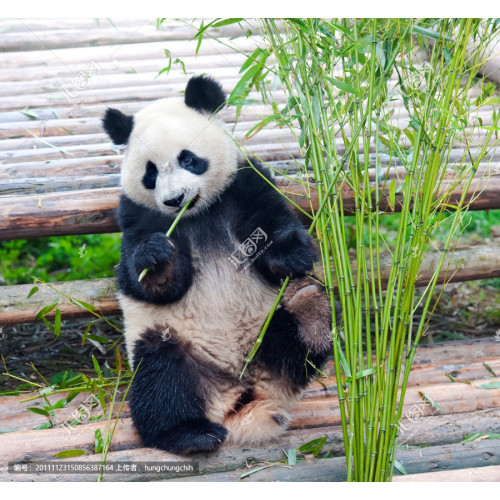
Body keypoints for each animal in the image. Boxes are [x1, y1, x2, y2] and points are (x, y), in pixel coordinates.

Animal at [102, 76, 332, 456]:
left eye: (188, 159)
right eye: (150, 172)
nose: (174, 199)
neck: (197, 214)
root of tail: (243, 396)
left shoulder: (245, 185)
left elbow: (273, 230)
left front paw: (290, 255)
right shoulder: (136, 214)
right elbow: (145, 281)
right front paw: (156, 257)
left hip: (267, 334)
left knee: (304, 330)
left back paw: (311, 310)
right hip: (176, 344)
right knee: (161, 375)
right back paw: (189, 434)